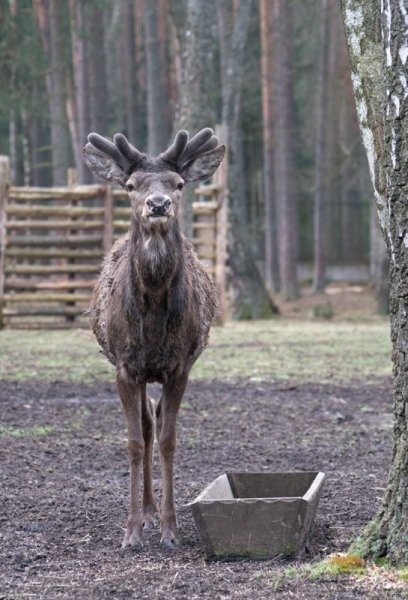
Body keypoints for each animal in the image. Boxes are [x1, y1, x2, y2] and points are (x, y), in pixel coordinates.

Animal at [81, 129, 225, 552]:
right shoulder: (126, 367)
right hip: (140, 372)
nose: (158, 204)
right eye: (131, 185)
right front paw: (132, 532)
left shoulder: (179, 366)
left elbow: (168, 439)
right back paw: (144, 512)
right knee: (145, 425)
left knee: (155, 422)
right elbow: (134, 441)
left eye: (178, 184)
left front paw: (170, 529)